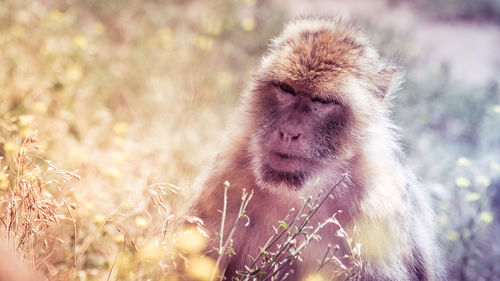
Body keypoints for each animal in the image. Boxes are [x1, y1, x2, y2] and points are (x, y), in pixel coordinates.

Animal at [189, 18, 444, 280]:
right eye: (286, 89)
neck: (309, 187)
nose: (289, 131)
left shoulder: (379, 207)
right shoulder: (228, 172)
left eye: (322, 101)